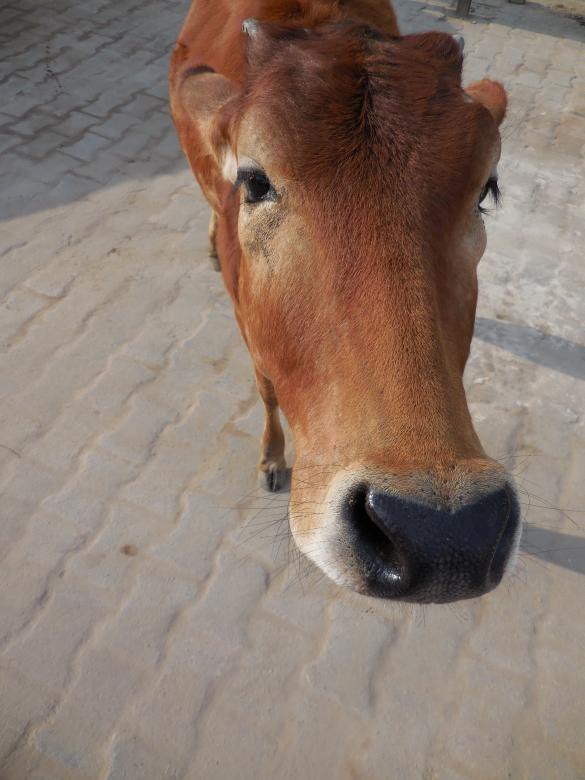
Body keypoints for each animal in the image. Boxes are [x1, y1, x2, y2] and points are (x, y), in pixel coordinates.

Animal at [169, 0, 520, 603]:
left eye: (486, 190)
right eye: (254, 181)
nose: (445, 531)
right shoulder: (246, 320)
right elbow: (266, 387)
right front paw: (271, 458)